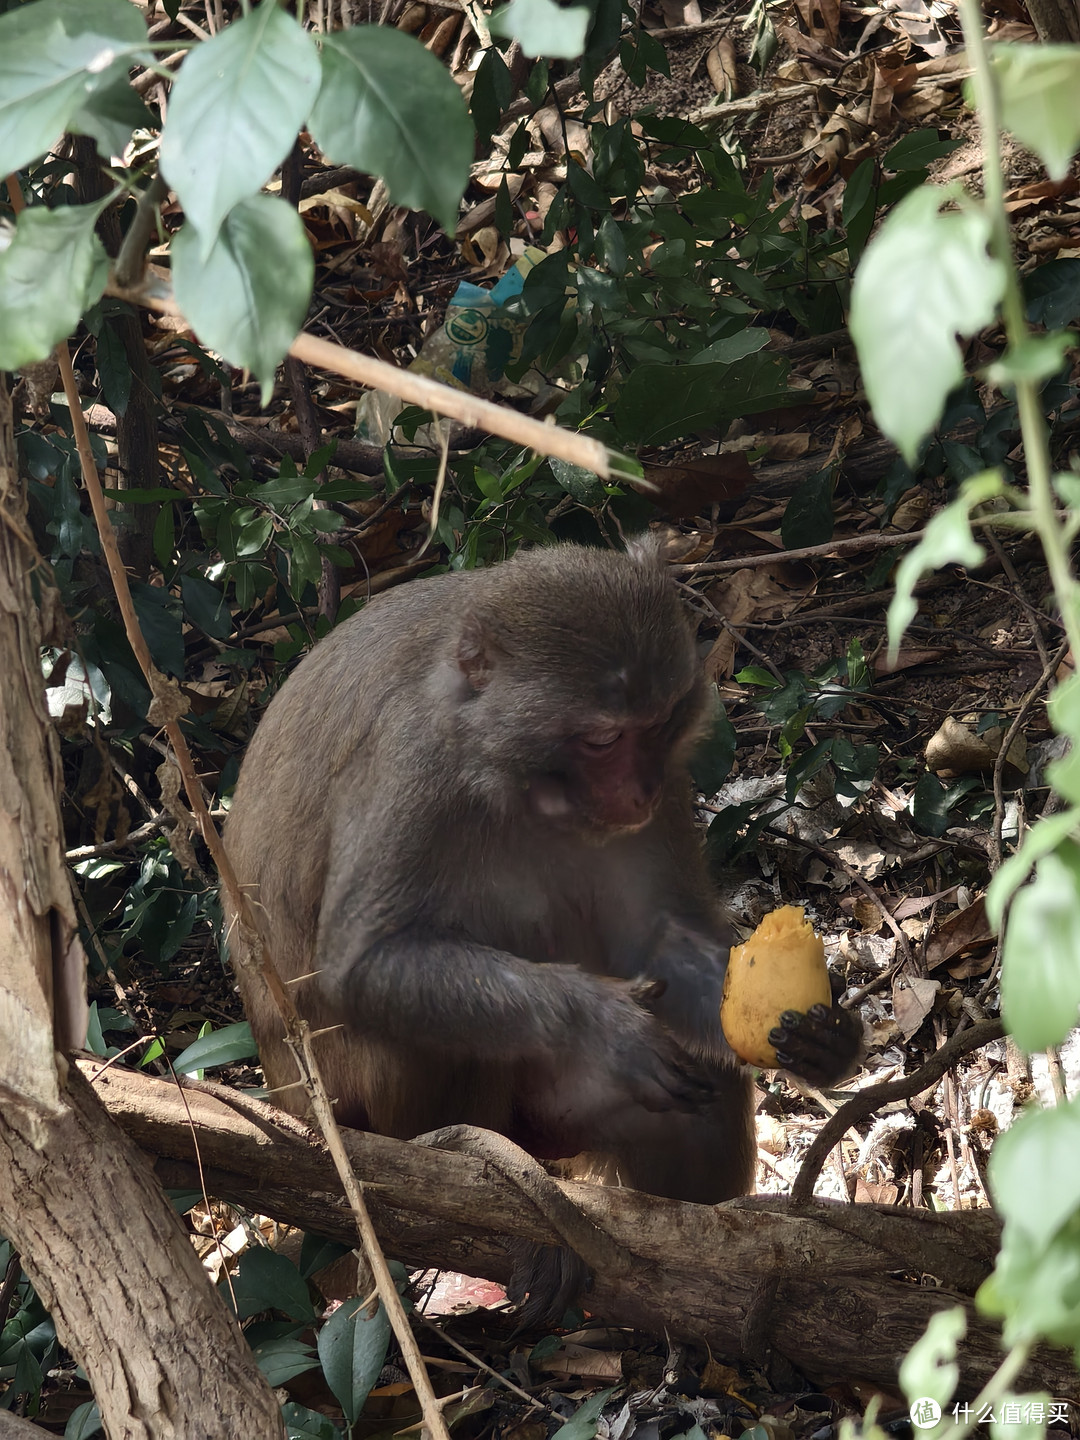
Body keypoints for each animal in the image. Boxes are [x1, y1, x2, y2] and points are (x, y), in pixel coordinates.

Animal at [226, 541, 864, 1319]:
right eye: (602, 738)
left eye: (657, 724)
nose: (641, 792)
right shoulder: (412, 765)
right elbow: (362, 963)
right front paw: (606, 1026)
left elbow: (658, 939)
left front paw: (827, 1041)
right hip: (362, 1121)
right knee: (430, 1041)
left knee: (696, 1080)